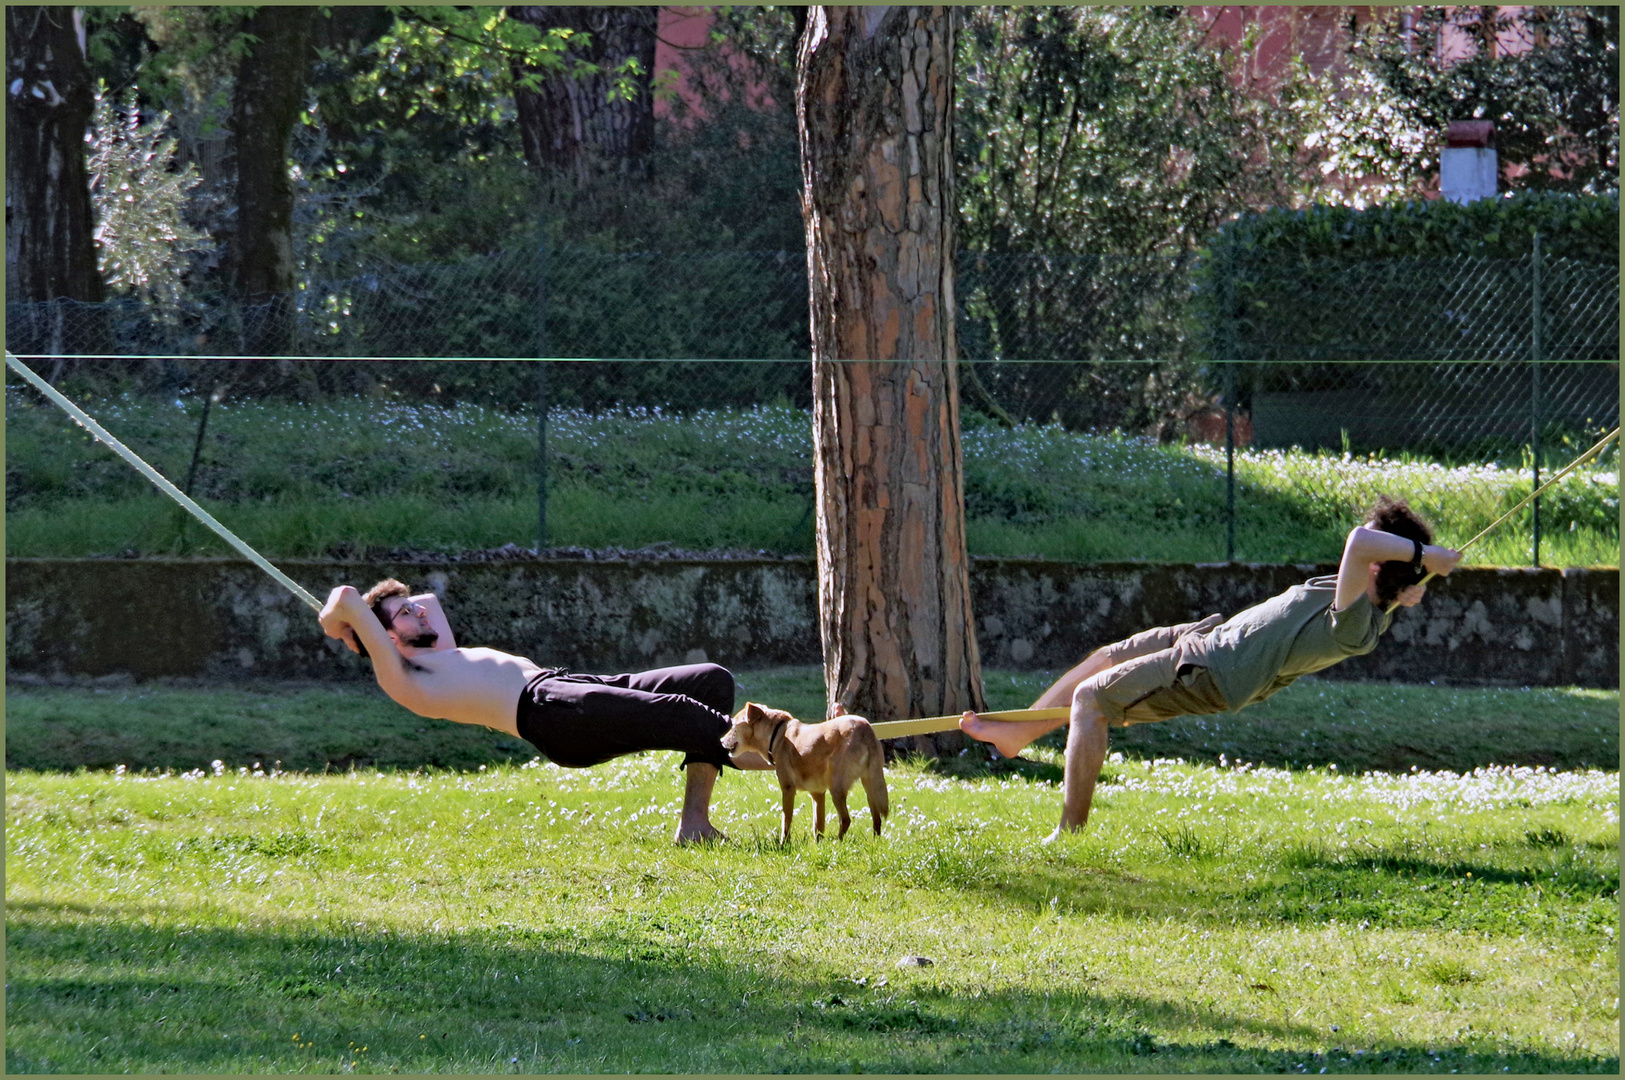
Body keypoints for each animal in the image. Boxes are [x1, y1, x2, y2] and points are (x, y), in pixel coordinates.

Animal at [728, 698, 897, 844]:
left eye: (733, 726)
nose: (722, 740)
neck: (777, 735)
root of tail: (865, 730)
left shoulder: (788, 789)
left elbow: (786, 821)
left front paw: (783, 844)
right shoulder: (818, 794)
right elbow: (818, 826)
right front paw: (818, 845)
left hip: (837, 788)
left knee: (846, 819)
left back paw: (837, 842)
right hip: (869, 784)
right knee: (876, 818)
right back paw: (874, 842)